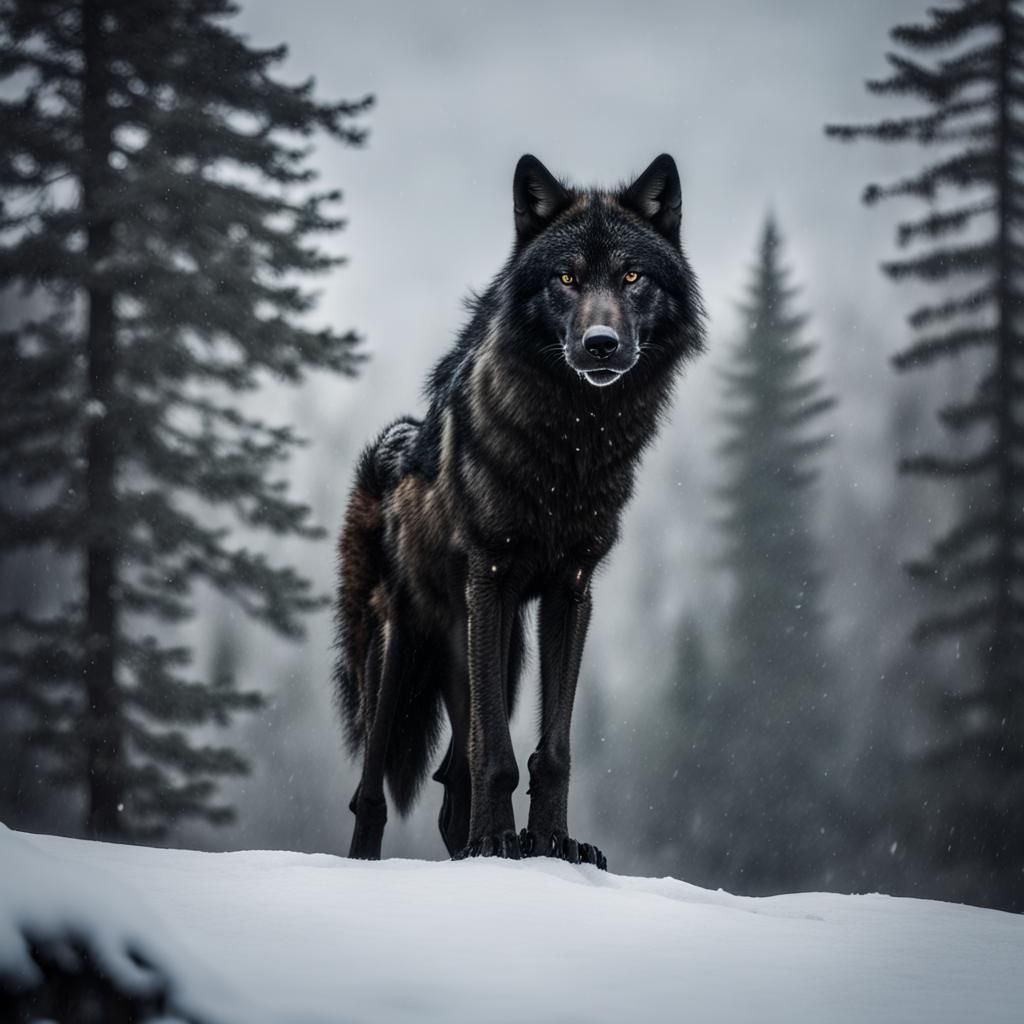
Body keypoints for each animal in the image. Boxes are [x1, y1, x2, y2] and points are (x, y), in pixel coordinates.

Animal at [333, 153, 705, 868]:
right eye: (566, 277)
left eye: (632, 277)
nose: (600, 343)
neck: (575, 441)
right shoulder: (491, 578)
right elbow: (497, 753)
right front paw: (500, 843)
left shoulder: (572, 589)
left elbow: (552, 749)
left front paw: (553, 843)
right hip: (401, 648)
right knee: (371, 790)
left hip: (499, 652)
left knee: (451, 782)